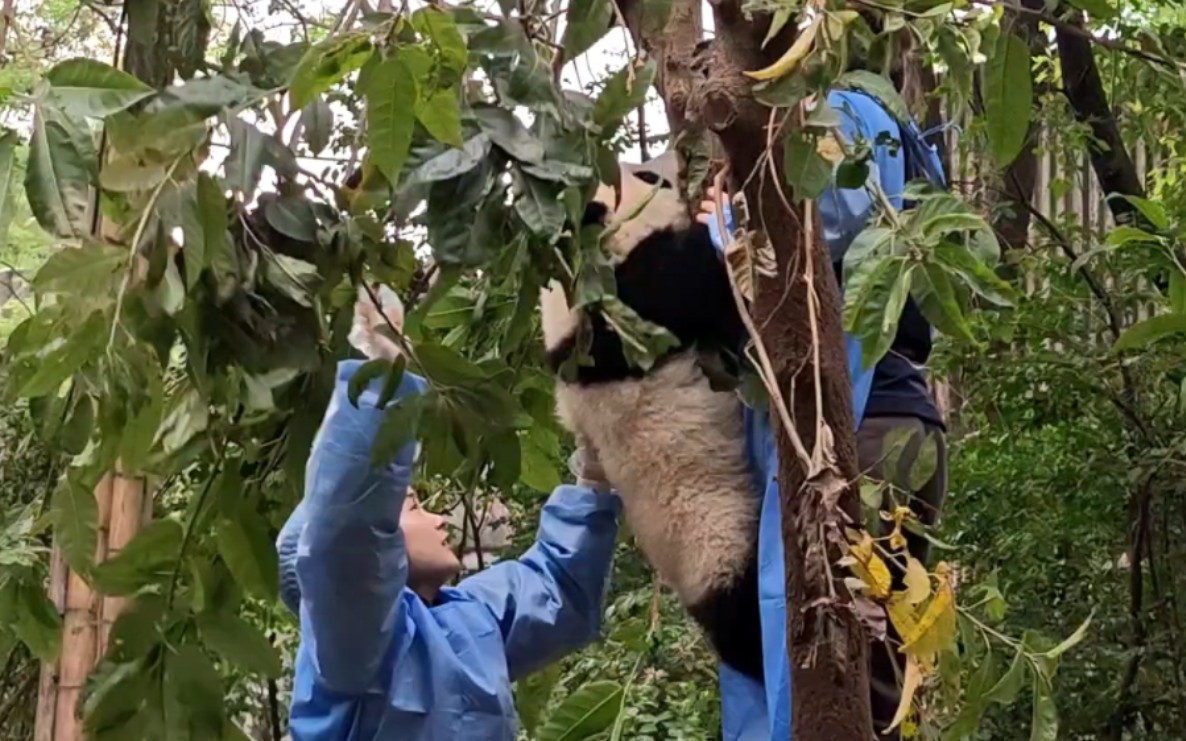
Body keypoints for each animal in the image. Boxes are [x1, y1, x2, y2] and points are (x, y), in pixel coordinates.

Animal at [540, 152, 763, 678]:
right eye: (646, 178)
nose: (669, 173)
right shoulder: (631, 313)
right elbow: (697, 280)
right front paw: (720, 214)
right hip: (712, 538)